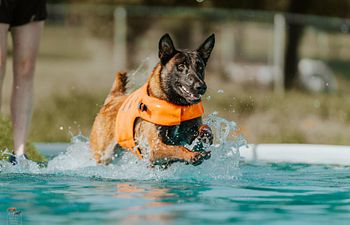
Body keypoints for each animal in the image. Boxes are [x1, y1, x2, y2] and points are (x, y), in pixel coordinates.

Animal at [89, 33, 216, 167]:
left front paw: (206, 134)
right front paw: (191, 155)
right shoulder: (155, 148)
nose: (201, 87)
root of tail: (114, 97)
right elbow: (178, 148)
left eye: (200, 67)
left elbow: (203, 128)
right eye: (180, 66)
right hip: (103, 154)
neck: (175, 105)